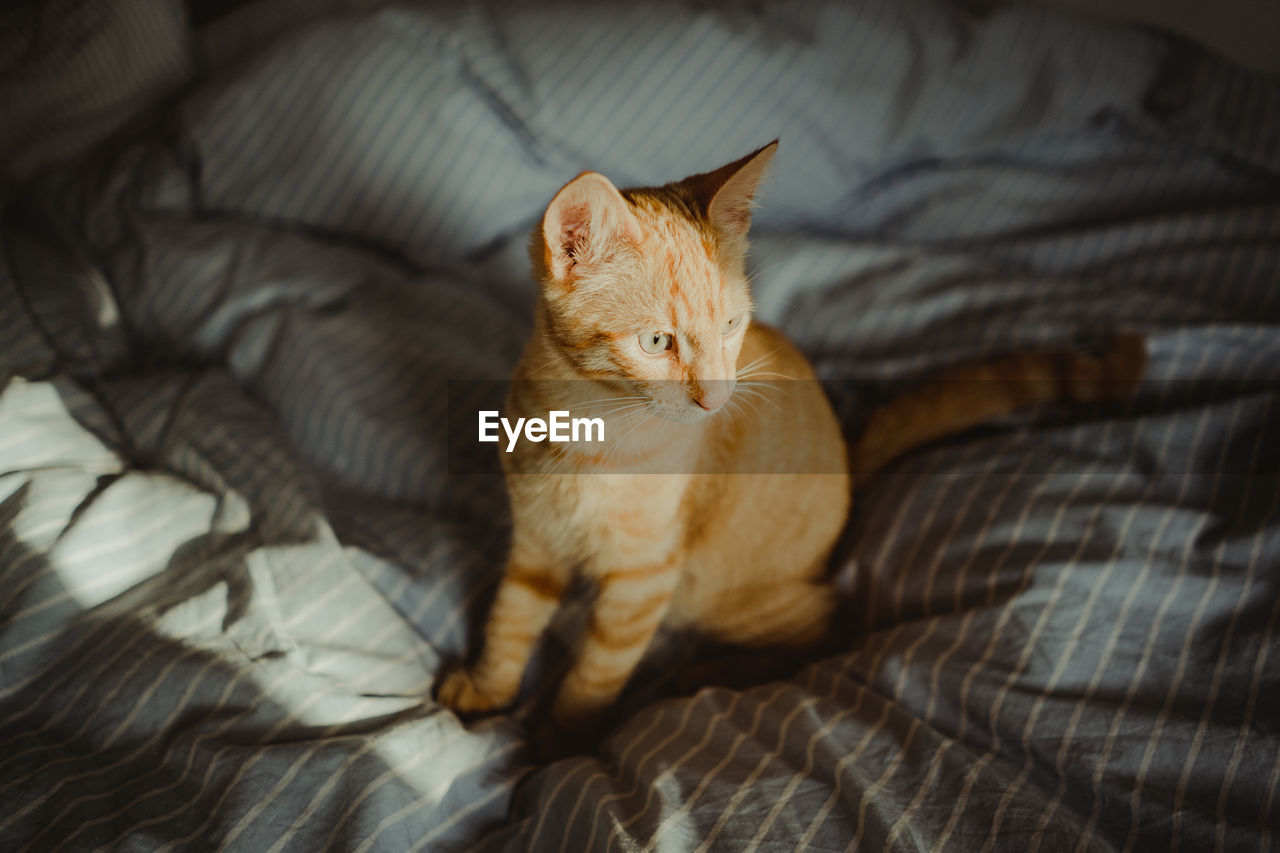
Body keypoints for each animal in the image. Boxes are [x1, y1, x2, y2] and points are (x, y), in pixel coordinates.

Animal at [435, 139, 1146, 742]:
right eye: (657, 341)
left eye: (730, 326)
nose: (715, 400)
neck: (587, 429)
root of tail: (847, 458)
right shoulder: (535, 542)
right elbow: (510, 619)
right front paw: (488, 689)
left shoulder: (645, 580)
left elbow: (595, 672)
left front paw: (561, 739)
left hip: (720, 595)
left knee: (826, 627)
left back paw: (702, 675)